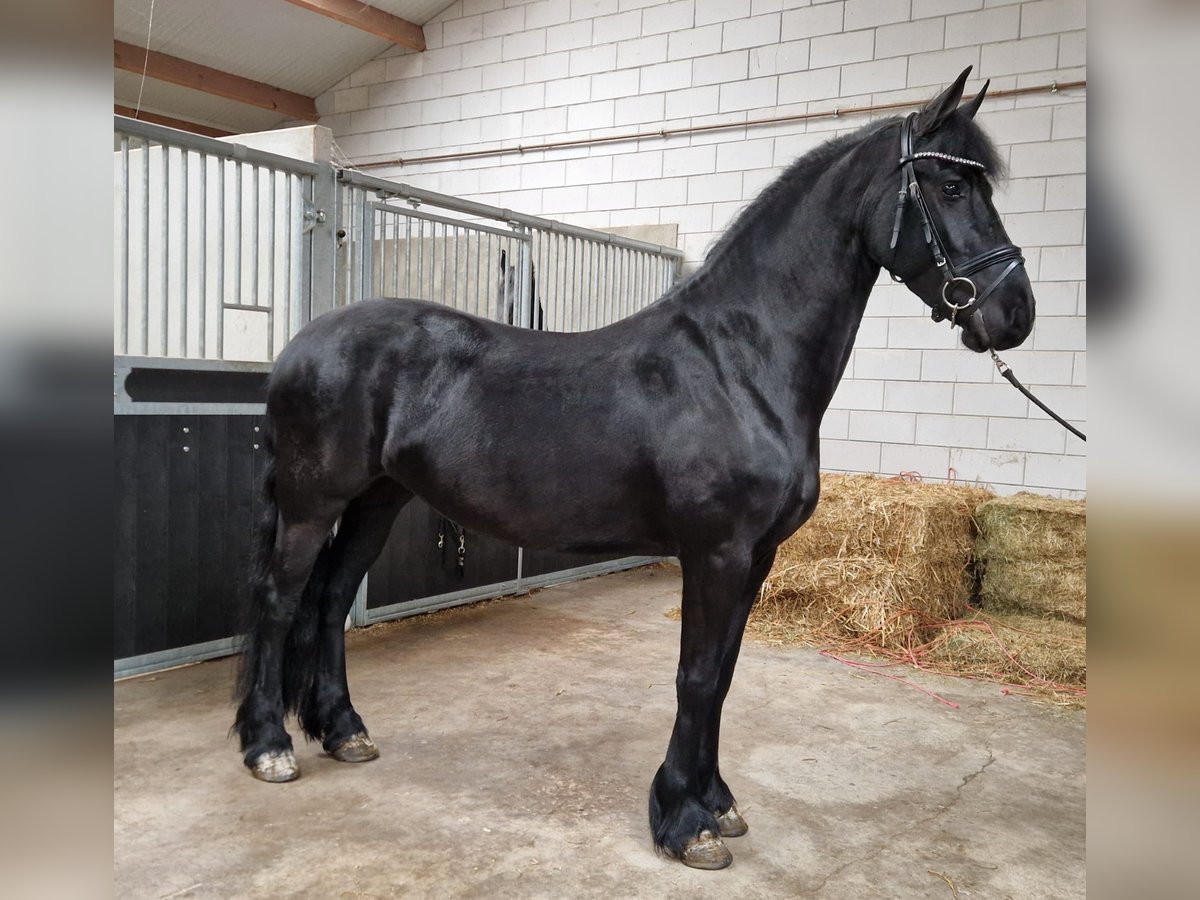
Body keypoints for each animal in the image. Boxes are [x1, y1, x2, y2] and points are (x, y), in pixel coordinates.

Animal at [231, 72, 1032, 873]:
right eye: (951, 187)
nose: (1015, 314)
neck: (739, 363)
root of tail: (303, 344)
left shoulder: (757, 558)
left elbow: (724, 676)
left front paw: (718, 803)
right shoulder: (716, 553)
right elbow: (697, 676)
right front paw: (686, 822)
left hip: (377, 500)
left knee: (331, 599)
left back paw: (343, 731)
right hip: (312, 503)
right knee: (280, 600)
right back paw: (269, 747)